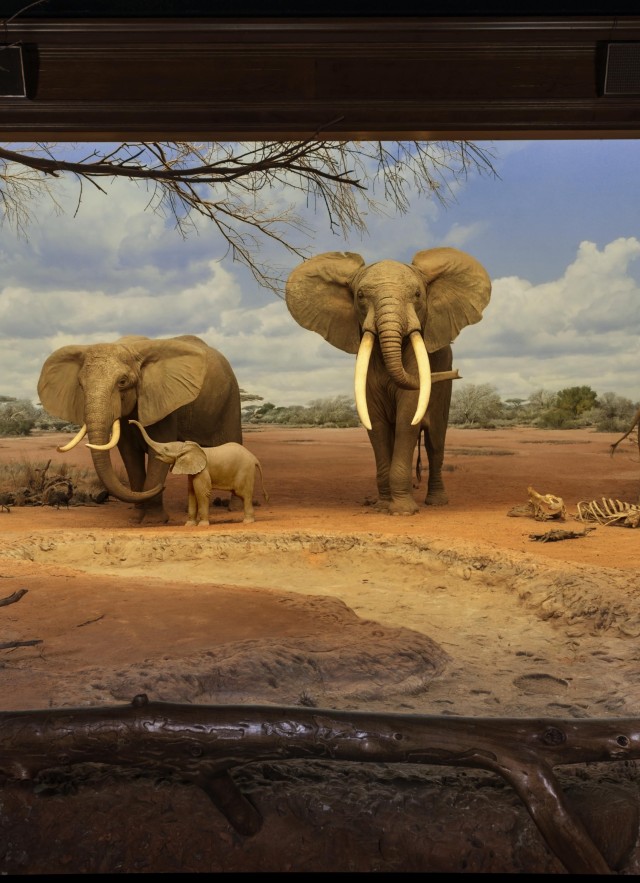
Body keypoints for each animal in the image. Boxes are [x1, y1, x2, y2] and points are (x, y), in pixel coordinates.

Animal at [37, 334, 242, 523]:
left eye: (122, 382)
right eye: (80, 385)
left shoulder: (163, 403)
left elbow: (158, 450)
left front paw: (154, 521)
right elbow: (130, 455)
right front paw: (136, 519)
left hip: (231, 398)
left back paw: (235, 509)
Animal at [129, 420, 269, 525]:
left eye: (166, 449)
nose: (130, 421)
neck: (188, 447)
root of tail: (254, 458)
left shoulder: (203, 471)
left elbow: (202, 492)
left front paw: (202, 525)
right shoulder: (193, 472)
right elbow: (191, 493)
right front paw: (189, 525)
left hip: (245, 470)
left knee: (243, 494)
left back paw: (247, 522)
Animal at [285, 247, 491, 515]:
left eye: (417, 294)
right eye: (360, 295)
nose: (457, 372)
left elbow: (408, 418)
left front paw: (403, 511)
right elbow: (376, 423)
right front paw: (383, 506)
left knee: (435, 442)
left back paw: (436, 502)